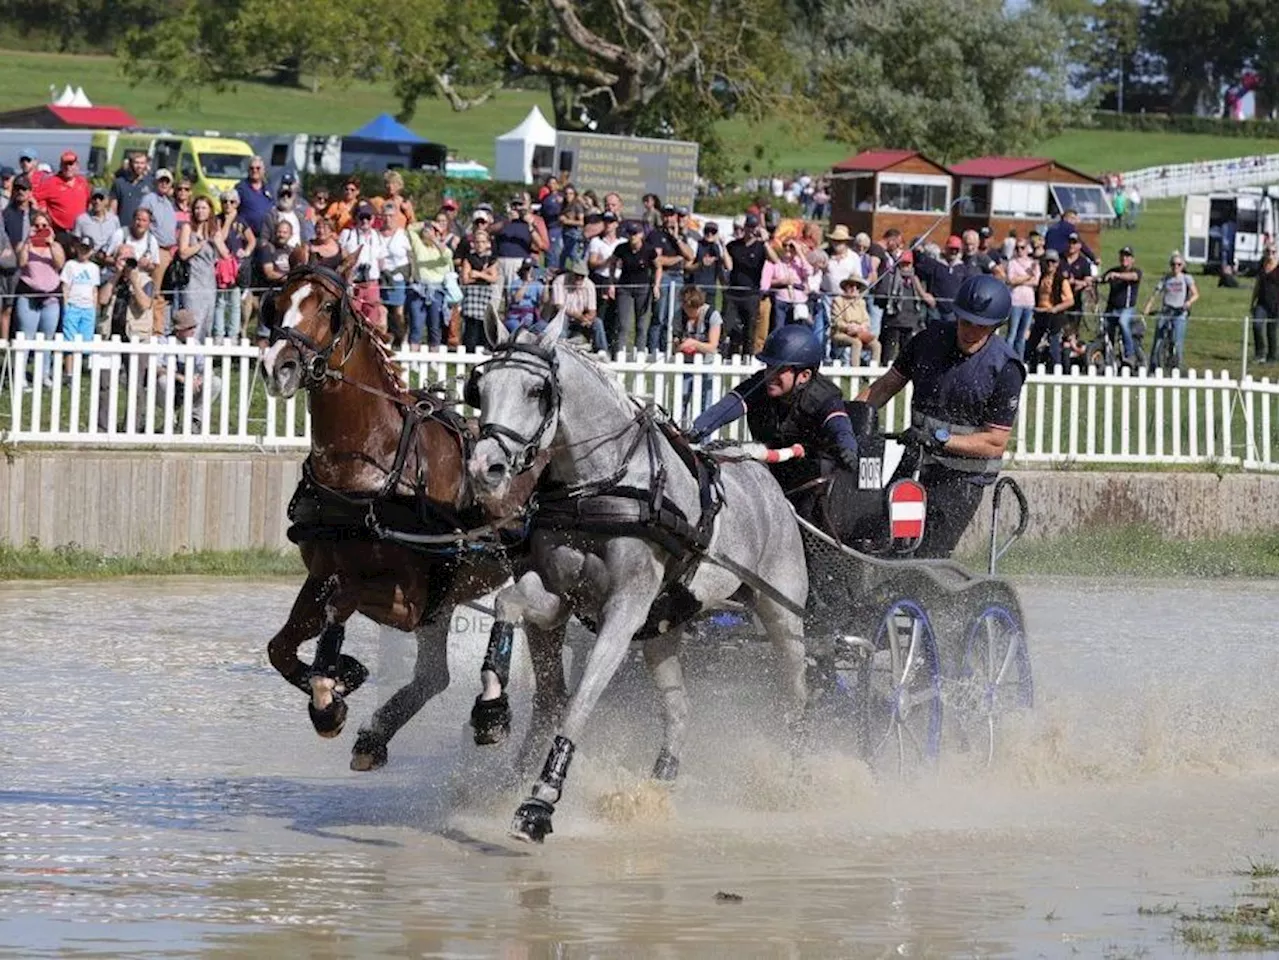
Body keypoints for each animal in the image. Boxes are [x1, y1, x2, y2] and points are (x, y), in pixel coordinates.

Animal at [257, 256, 563, 773]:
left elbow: (342, 604)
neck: (369, 465)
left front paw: (332, 689)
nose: (278, 366)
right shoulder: (323, 574)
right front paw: (341, 682)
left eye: (328, 307)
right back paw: (376, 735)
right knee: (437, 677)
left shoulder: (410, 598)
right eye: (276, 302)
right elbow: (281, 649)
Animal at [463, 309, 808, 839]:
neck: (599, 486)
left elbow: (579, 703)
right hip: (662, 628)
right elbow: (508, 603)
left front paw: (541, 801)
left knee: (796, 692)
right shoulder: (559, 595)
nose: (486, 467)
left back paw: (789, 778)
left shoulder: (623, 611)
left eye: (537, 391)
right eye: (478, 388)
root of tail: (766, 478)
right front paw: (491, 711)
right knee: (679, 707)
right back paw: (658, 785)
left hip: (782, 614)